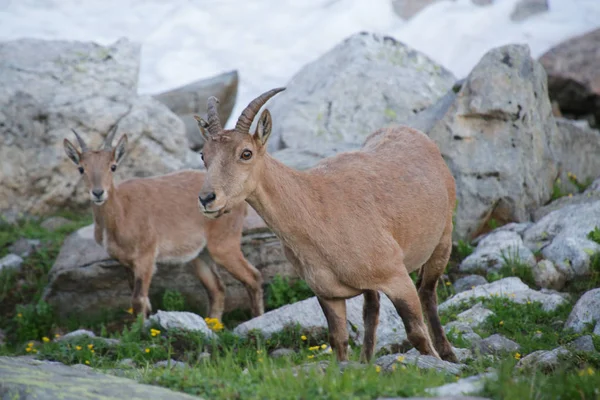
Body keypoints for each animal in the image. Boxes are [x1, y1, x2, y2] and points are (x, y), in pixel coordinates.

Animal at [62, 130, 264, 320]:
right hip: (201, 255)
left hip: (223, 245)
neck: (121, 212)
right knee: (217, 288)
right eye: (81, 168)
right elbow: (140, 300)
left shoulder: (146, 257)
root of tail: (242, 200)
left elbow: (138, 300)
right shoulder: (126, 263)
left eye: (112, 166)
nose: (98, 193)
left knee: (253, 277)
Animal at [195, 89, 458, 364]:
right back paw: (366, 360)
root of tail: (416, 134)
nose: (207, 198)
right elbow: (338, 341)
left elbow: (417, 333)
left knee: (427, 292)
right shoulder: (328, 293)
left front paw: (436, 362)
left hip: (443, 238)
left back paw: (448, 353)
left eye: (246, 153)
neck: (318, 212)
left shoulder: (396, 277)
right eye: (204, 155)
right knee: (372, 308)